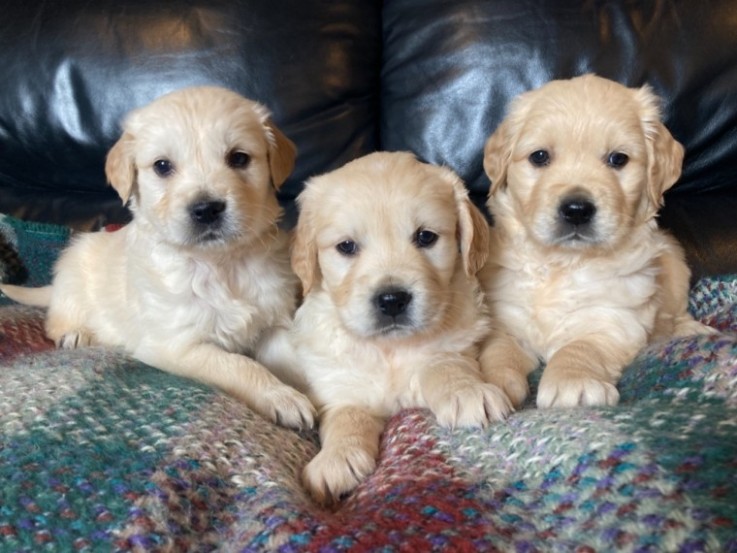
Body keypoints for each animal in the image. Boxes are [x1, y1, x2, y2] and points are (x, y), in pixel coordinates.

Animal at [0, 86, 314, 430]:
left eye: (239, 158)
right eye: (162, 166)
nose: (207, 209)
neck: (220, 263)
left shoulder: (272, 321)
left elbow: (296, 359)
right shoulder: (176, 344)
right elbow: (239, 365)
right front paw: (282, 397)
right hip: (72, 273)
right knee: (56, 318)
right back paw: (76, 332)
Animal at [276, 152, 512, 504]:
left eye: (426, 237)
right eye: (346, 246)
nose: (392, 300)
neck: (389, 348)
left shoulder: (453, 347)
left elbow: (445, 366)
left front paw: (466, 392)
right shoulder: (342, 384)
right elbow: (345, 416)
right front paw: (334, 459)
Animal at [478, 74, 712, 410]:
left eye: (618, 159)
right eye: (539, 156)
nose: (577, 210)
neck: (562, 263)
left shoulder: (613, 322)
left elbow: (581, 347)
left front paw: (572, 382)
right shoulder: (506, 318)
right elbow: (498, 352)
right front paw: (493, 385)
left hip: (675, 266)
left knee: (676, 313)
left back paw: (688, 328)